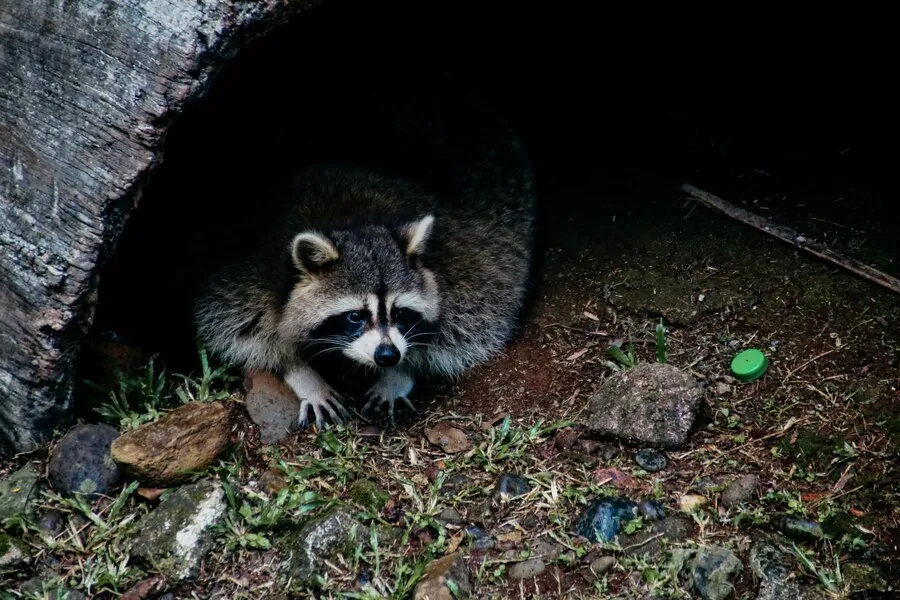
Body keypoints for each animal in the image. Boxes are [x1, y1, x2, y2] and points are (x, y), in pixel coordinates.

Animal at [185, 105, 536, 426]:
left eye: (400, 312)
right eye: (355, 316)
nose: (388, 356)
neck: (355, 220)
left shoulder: (468, 261)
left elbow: (474, 324)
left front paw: (403, 370)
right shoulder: (243, 270)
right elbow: (236, 329)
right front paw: (301, 371)